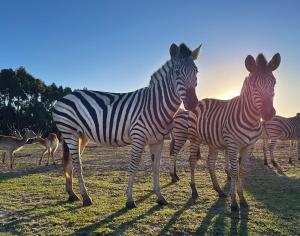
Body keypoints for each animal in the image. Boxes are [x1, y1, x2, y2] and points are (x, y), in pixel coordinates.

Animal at [51, 42, 202, 208]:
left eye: (196, 71)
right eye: (177, 72)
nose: (192, 104)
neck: (155, 104)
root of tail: (64, 97)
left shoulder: (158, 141)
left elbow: (156, 168)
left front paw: (160, 197)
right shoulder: (138, 137)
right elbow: (133, 167)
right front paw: (130, 200)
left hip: (81, 136)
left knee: (72, 162)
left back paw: (72, 194)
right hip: (69, 132)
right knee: (77, 164)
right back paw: (85, 197)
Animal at [171, 53, 282, 210]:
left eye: (274, 83)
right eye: (253, 85)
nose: (268, 114)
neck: (250, 118)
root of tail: (200, 101)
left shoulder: (249, 146)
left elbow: (242, 172)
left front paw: (242, 199)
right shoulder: (233, 145)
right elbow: (234, 172)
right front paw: (234, 203)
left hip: (212, 142)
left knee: (210, 162)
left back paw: (218, 190)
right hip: (192, 138)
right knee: (191, 161)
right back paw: (193, 189)